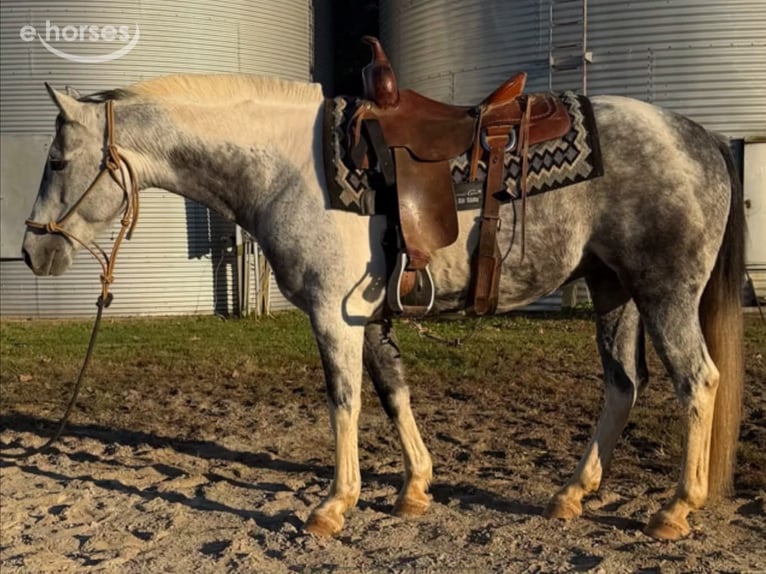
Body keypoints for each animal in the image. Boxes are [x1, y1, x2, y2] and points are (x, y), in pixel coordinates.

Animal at [21, 74, 744, 541]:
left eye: (55, 160)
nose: (32, 251)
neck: (290, 167)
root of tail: (700, 136)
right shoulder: (365, 317)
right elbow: (394, 391)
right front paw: (415, 488)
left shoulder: (331, 316)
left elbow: (344, 401)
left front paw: (334, 506)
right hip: (612, 288)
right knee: (624, 385)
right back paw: (572, 494)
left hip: (663, 292)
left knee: (697, 382)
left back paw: (676, 509)